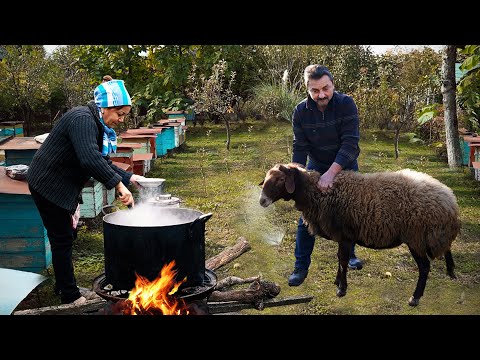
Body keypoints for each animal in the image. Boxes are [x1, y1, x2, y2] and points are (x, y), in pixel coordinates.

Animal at [256, 163, 460, 306]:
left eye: (280, 180)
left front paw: (341, 289)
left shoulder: (346, 236)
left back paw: (415, 298)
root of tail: (450, 200)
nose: (262, 201)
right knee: (447, 247)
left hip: (416, 237)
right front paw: (337, 281)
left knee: (425, 267)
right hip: (435, 234)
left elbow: (343, 260)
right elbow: (339, 258)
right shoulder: (342, 237)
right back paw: (451, 270)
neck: (319, 194)